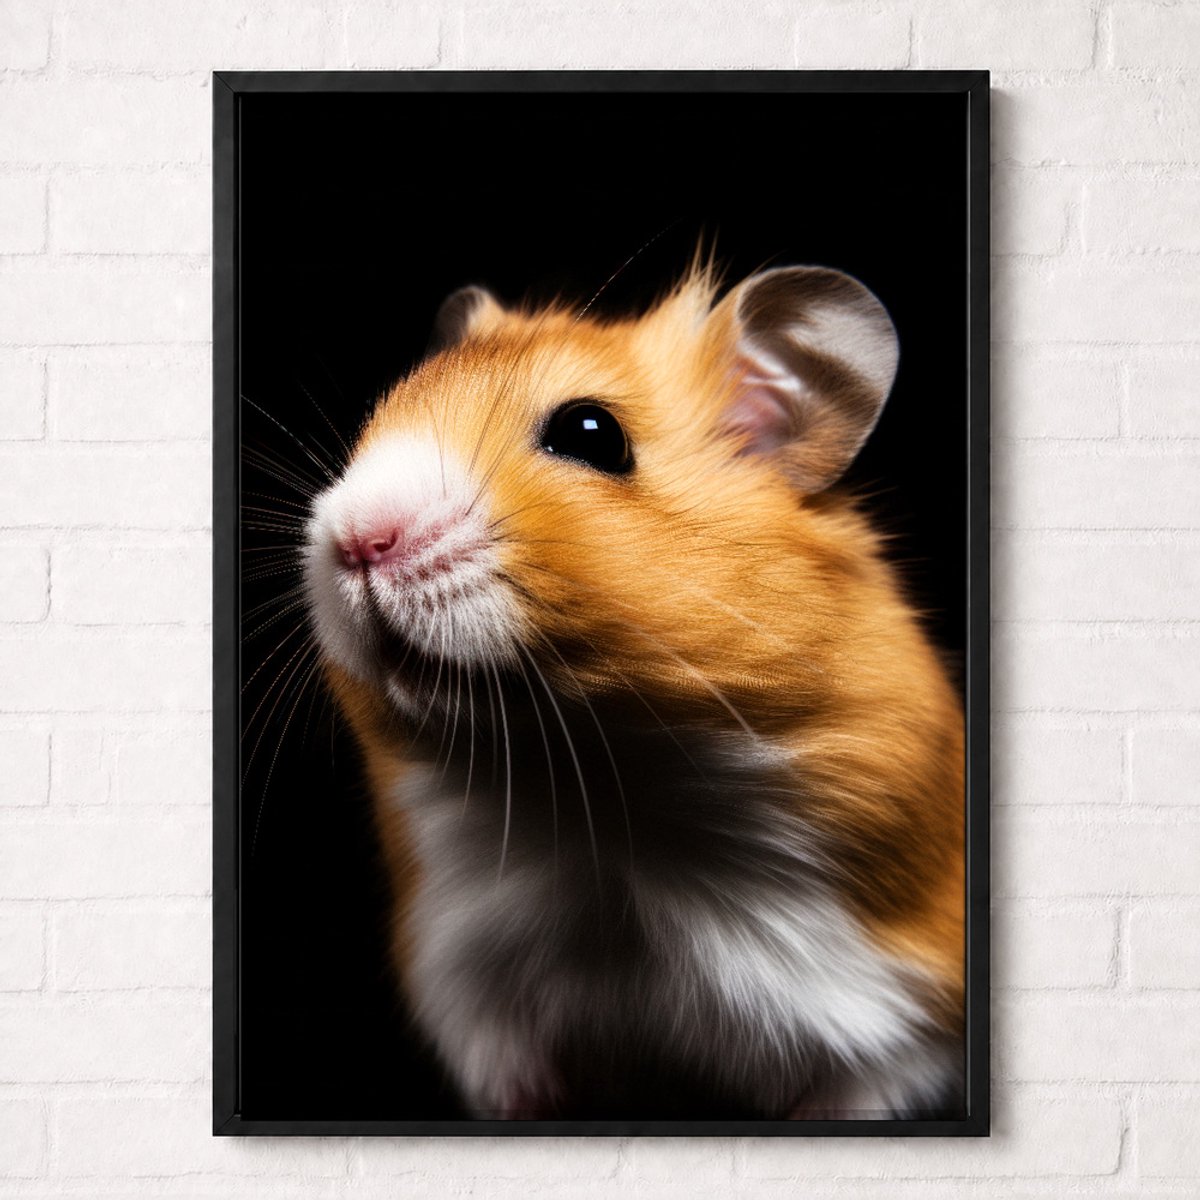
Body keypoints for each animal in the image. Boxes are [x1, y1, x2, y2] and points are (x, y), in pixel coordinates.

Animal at [301, 258, 965, 1120]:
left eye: (592, 435)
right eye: (386, 409)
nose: (355, 541)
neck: (593, 795)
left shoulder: (901, 1017)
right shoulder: (469, 993)